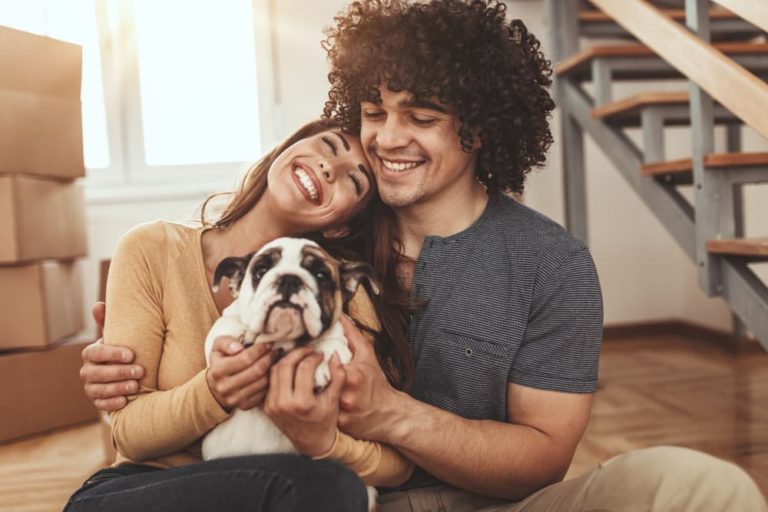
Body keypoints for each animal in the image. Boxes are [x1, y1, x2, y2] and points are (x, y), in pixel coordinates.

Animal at [200, 238, 376, 462]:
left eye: (321, 276)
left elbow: (332, 345)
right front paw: (247, 334)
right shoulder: (223, 327)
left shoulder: (341, 341)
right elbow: (227, 327)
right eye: (261, 270)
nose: (289, 279)